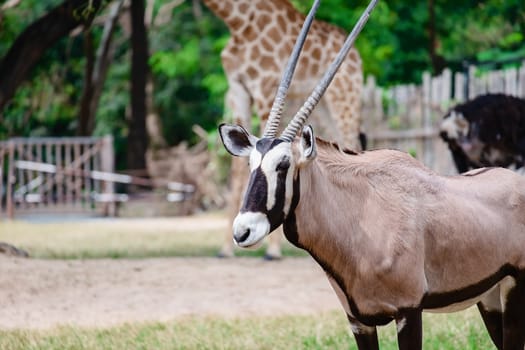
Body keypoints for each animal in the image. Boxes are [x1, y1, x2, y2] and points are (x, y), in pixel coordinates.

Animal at [203, 0, 362, 258]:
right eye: (251, 163)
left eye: (284, 165)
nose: (243, 231)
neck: (241, 25)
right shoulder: (238, 92)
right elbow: (236, 172)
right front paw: (225, 249)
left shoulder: (264, 90)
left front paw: (273, 251)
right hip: (325, 112)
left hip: (343, 102)